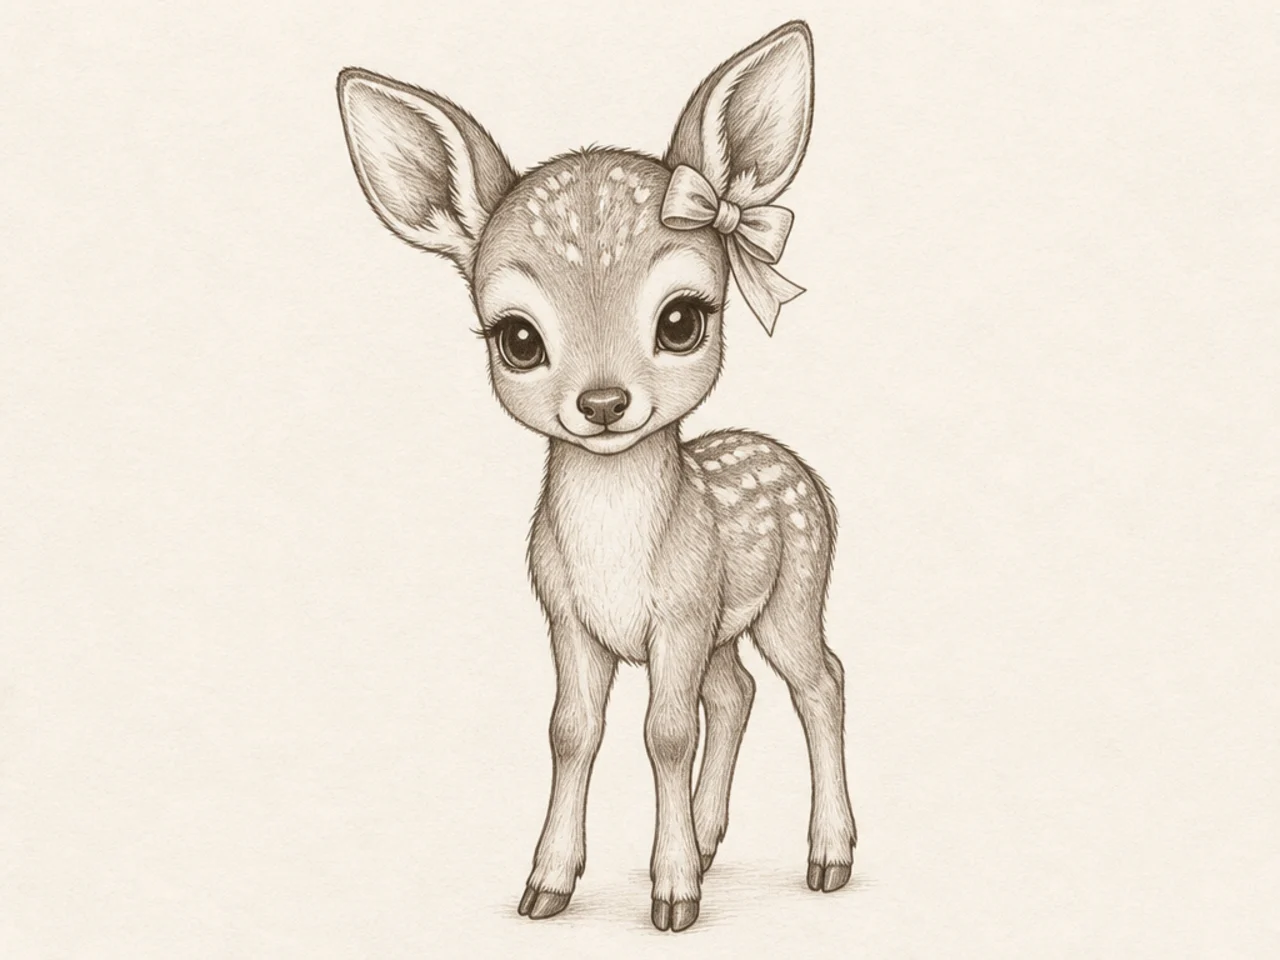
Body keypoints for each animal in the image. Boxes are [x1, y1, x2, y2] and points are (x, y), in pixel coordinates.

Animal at [336, 20, 856, 933]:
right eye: (517, 337)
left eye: (681, 320)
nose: (605, 402)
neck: (616, 549)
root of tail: (798, 466)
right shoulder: (569, 614)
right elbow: (572, 729)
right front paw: (547, 885)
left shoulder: (678, 612)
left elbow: (665, 733)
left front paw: (672, 897)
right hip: (725, 624)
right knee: (737, 692)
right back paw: (713, 838)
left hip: (793, 589)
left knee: (819, 681)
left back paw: (828, 857)